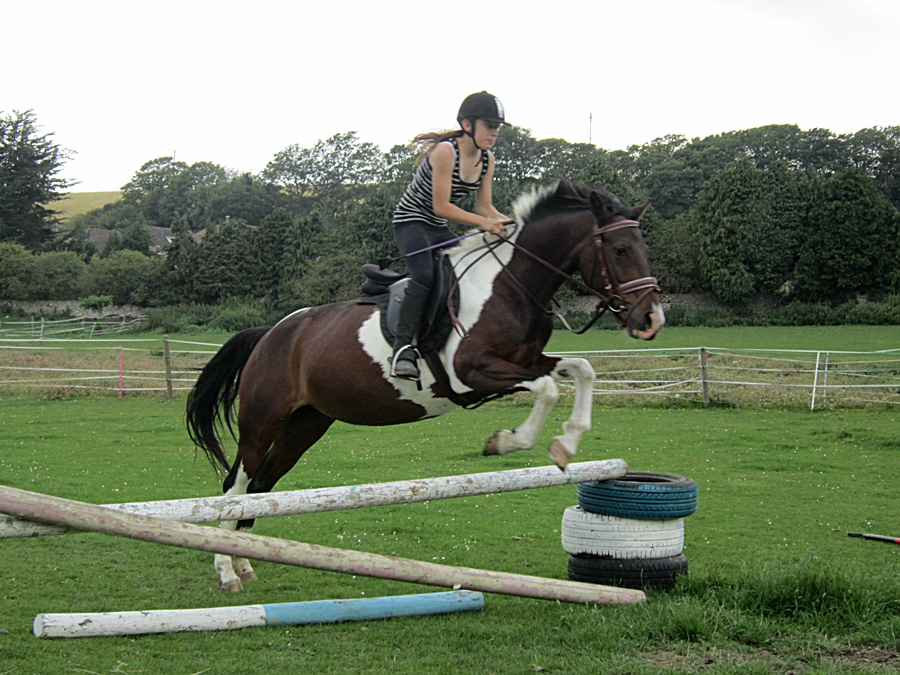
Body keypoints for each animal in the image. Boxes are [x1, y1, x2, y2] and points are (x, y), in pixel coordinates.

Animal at [186, 178, 665, 591]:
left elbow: (582, 370)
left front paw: (566, 443)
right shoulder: (472, 372)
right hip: (262, 420)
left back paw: (244, 560)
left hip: (305, 425)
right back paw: (225, 571)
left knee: (261, 486)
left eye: (645, 248)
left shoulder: (524, 364)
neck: (512, 284)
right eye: (620, 249)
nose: (651, 320)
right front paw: (506, 442)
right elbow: (548, 389)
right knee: (235, 486)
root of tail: (270, 334)